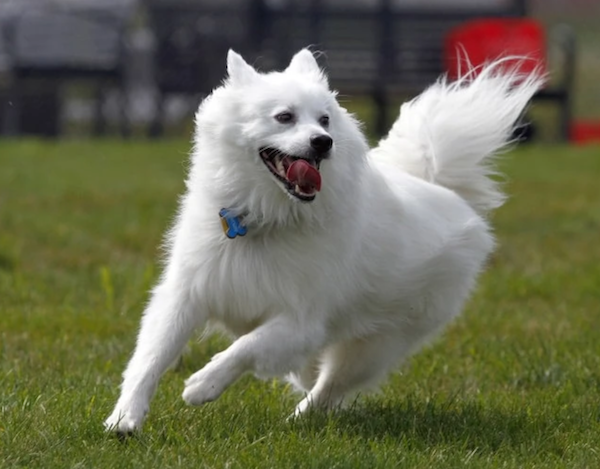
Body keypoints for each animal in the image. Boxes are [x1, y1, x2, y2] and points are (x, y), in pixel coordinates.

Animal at [104, 48, 544, 432]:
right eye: (284, 117)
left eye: (325, 120)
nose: (323, 142)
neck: (264, 218)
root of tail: (437, 186)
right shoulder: (186, 294)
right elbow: (150, 357)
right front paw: (124, 418)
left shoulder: (301, 321)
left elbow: (246, 347)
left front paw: (202, 385)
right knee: (309, 375)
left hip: (374, 345)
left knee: (328, 388)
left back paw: (298, 420)